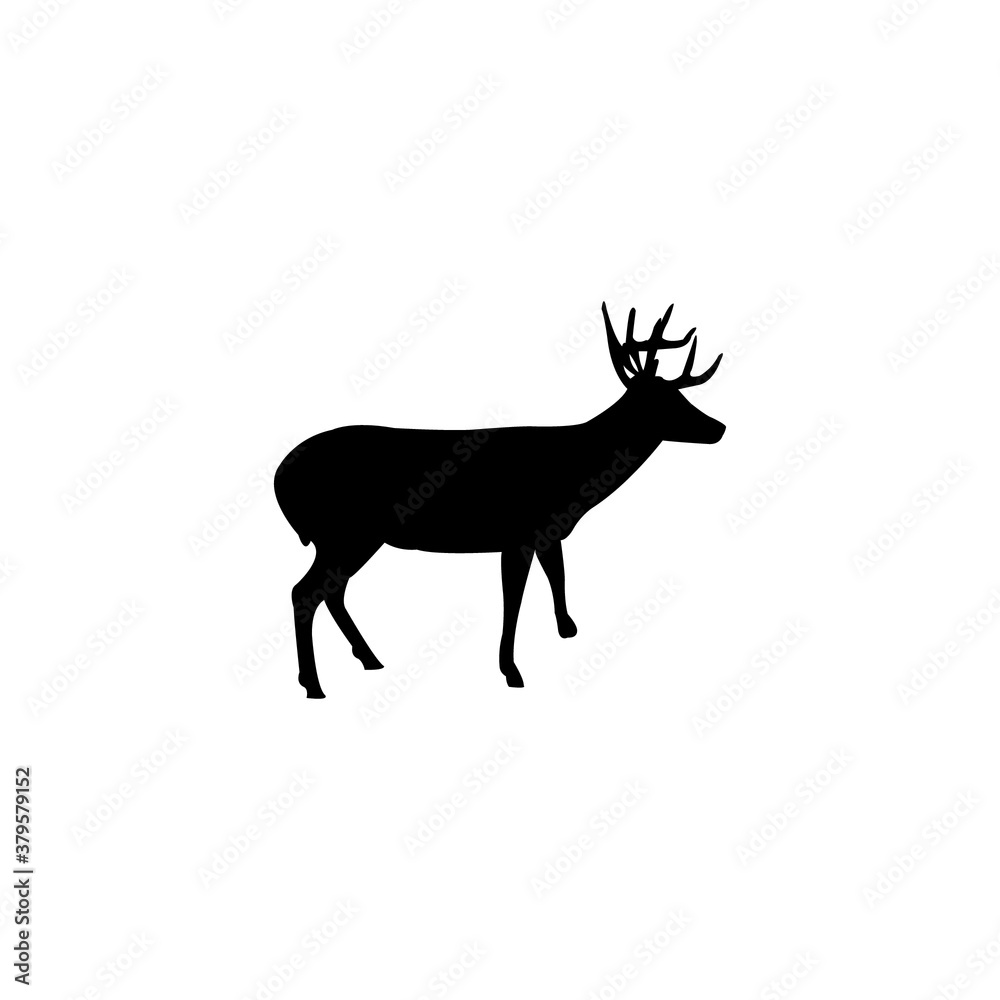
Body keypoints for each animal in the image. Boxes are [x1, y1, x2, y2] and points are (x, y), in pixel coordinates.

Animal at [274, 302, 725, 698]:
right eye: (667, 402)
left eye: (682, 398)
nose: (719, 427)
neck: (576, 473)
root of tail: (281, 480)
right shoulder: (517, 532)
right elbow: (514, 600)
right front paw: (511, 670)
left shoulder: (548, 531)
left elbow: (558, 574)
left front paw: (567, 629)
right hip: (345, 531)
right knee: (304, 592)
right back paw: (314, 684)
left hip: (349, 538)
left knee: (332, 591)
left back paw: (369, 659)